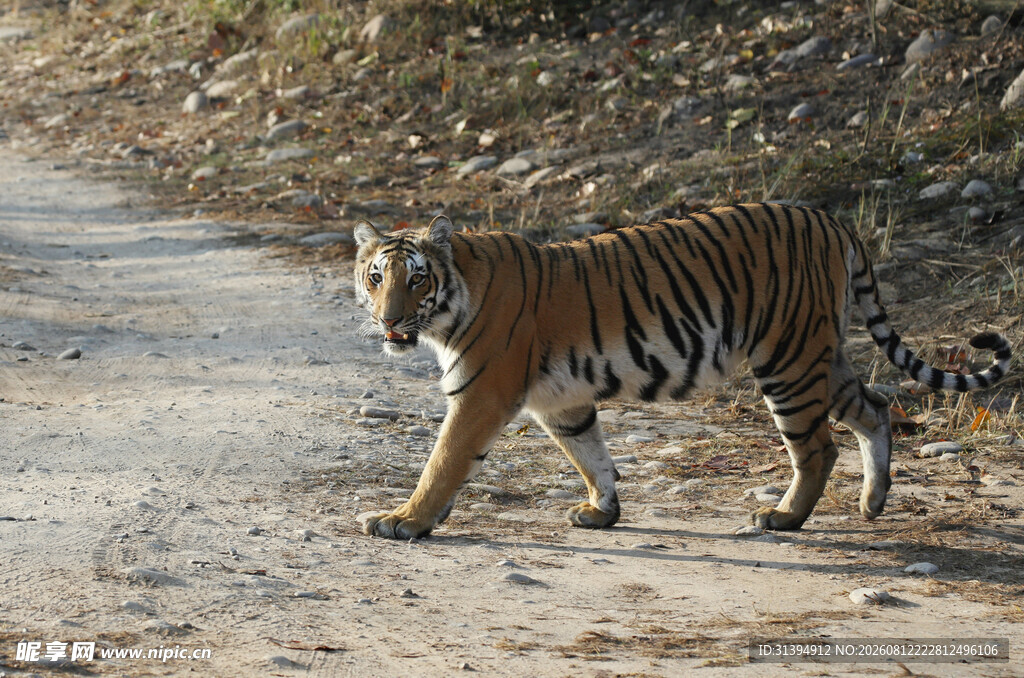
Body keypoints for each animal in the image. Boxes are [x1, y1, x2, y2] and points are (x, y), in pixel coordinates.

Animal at [352, 203, 1012, 540]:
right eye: (376, 277)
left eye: (417, 279)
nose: (389, 320)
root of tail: (830, 217)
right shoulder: (560, 402)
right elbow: (590, 453)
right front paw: (602, 512)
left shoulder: (482, 393)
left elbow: (443, 461)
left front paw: (402, 521)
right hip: (821, 355)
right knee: (873, 409)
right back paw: (873, 503)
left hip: (787, 359)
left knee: (818, 446)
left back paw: (785, 517)